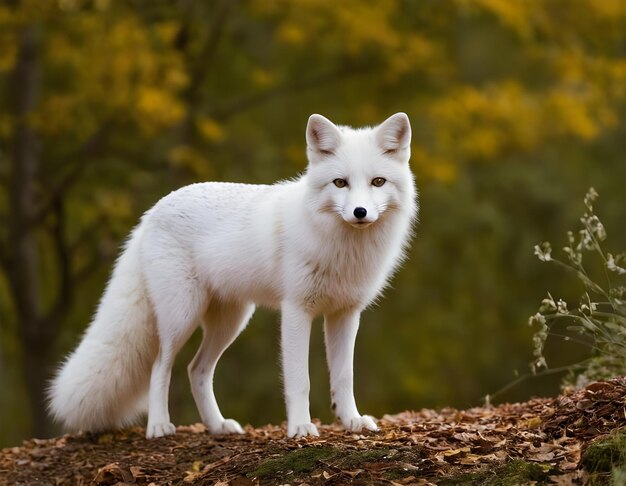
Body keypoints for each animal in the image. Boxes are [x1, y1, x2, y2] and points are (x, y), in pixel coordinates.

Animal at [48, 112, 416, 438]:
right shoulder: (297, 311)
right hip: (181, 317)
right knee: (160, 367)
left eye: (377, 182)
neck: (344, 250)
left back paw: (217, 426)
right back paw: (159, 427)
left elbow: (343, 377)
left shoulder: (345, 314)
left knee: (196, 370)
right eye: (340, 183)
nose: (359, 212)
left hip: (231, 322)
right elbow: (300, 380)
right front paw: (300, 428)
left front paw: (351, 421)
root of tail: (152, 211)